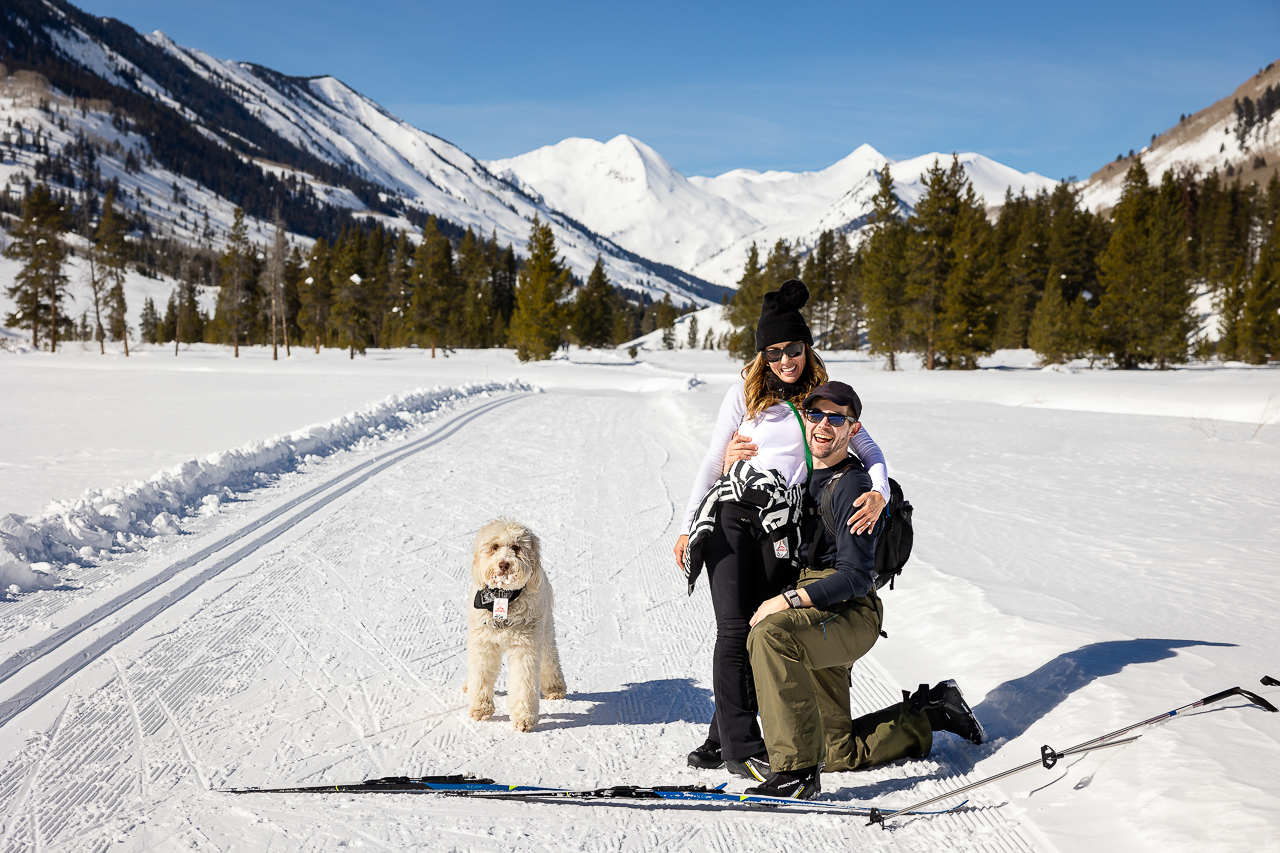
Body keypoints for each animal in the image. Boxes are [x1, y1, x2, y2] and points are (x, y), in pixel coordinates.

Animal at [465, 514, 565, 727]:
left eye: (516, 547)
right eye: (494, 546)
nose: (504, 564)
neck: (503, 596)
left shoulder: (525, 649)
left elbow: (523, 684)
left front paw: (524, 717)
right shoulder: (484, 644)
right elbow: (480, 676)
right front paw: (480, 709)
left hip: (546, 630)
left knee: (551, 658)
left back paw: (555, 687)